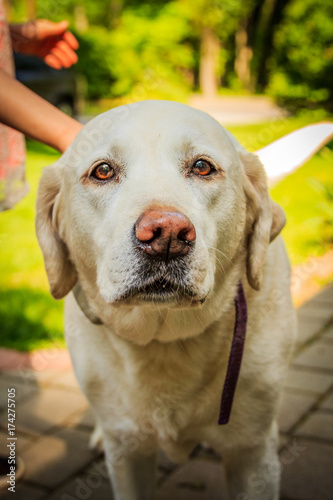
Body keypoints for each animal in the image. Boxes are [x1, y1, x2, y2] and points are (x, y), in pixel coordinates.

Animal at [36, 99, 296, 498]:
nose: (166, 235)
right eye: (103, 171)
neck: (166, 340)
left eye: (202, 166)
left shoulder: (252, 452)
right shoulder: (127, 453)